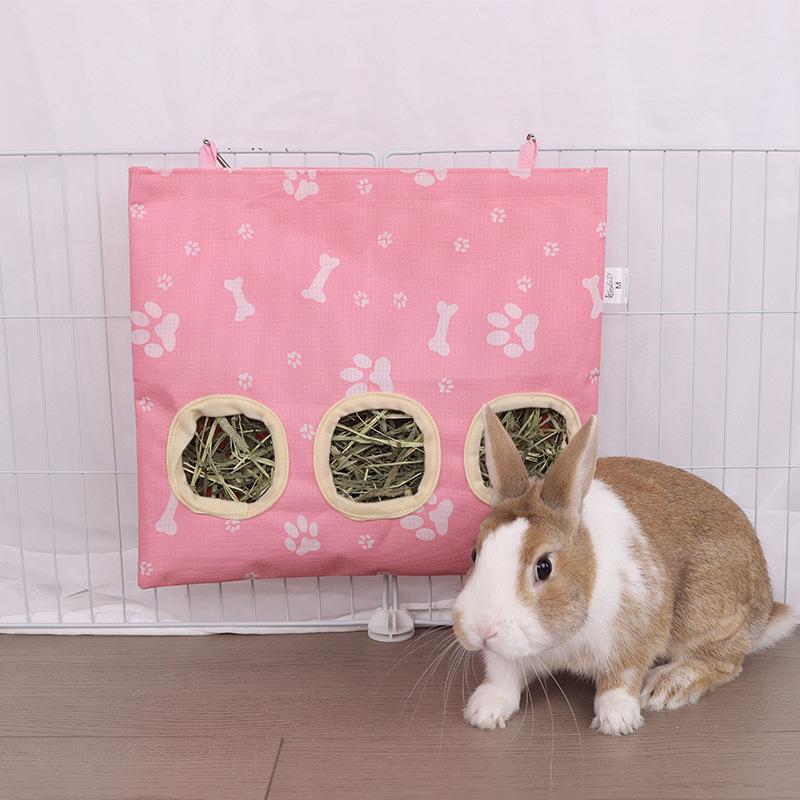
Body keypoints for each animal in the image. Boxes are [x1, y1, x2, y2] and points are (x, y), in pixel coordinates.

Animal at [452, 408, 796, 735]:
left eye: (544, 566)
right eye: (474, 553)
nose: (483, 629)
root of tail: (765, 610)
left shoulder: (636, 630)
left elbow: (621, 679)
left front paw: (617, 720)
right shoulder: (507, 656)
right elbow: (502, 677)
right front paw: (483, 712)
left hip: (705, 608)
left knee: (727, 661)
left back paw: (667, 686)